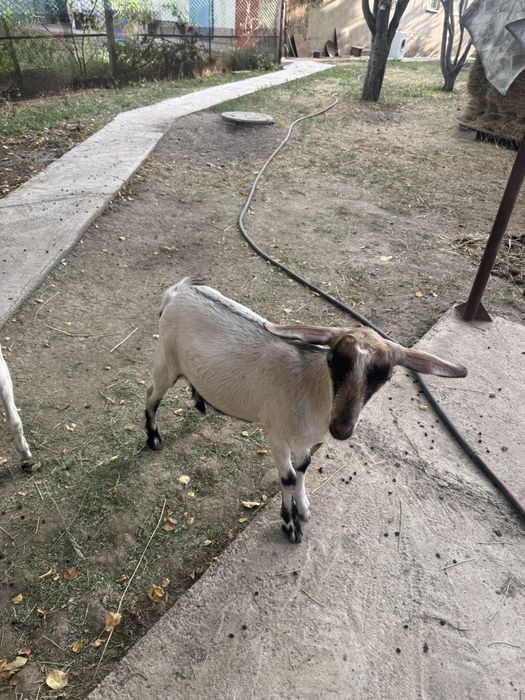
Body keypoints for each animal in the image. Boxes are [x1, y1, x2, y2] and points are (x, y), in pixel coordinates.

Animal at [145, 278, 467, 543]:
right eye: (335, 360)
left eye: (384, 375)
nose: (342, 427)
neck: (310, 389)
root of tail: (179, 291)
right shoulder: (276, 433)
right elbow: (287, 477)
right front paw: (290, 526)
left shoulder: (303, 440)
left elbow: (303, 467)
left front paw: (303, 508)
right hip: (166, 361)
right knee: (151, 396)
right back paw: (153, 438)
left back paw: (201, 401)